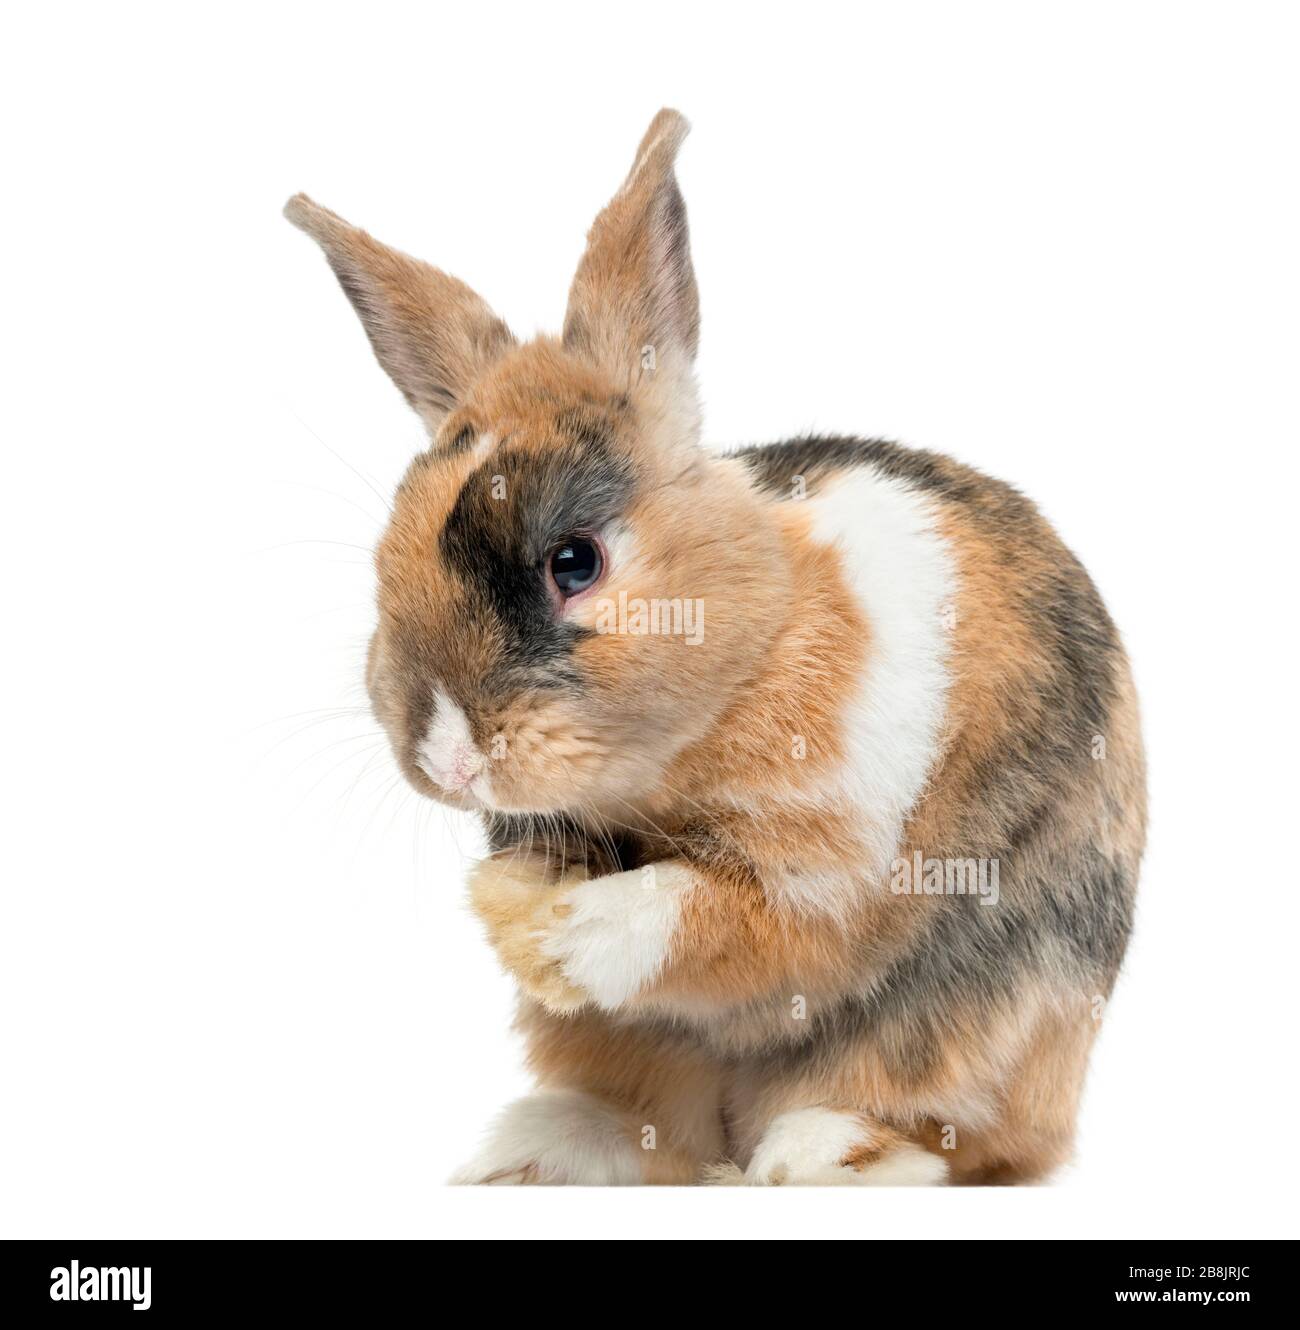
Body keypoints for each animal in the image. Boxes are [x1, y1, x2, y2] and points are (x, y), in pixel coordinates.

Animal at [285, 108, 1146, 1185]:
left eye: (575, 561)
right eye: (386, 556)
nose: (446, 757)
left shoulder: (817, 877)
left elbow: (690, 916)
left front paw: (563, 936)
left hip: (981, 1019)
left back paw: (809, 1158)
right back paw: (530, 1157)